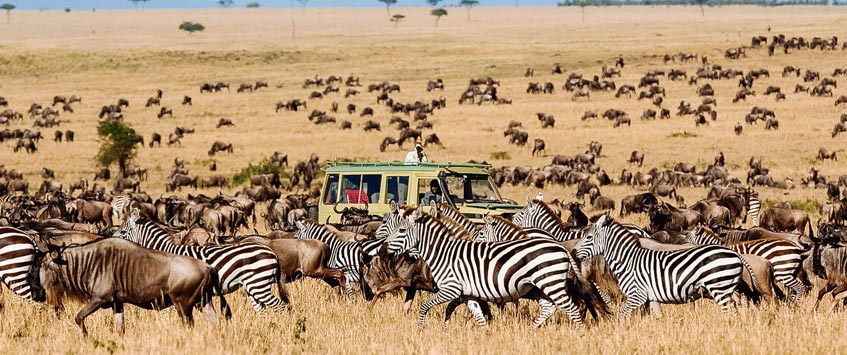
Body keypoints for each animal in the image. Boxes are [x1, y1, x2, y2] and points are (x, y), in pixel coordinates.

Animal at [117, 210, 292, 312]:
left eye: (123, 232)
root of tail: (272, 253)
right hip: (252, 286)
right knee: (262, 310)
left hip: (259, 284)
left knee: (281, 307)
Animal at [386, 207, 592, 330]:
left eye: (401, 230)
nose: (384, 248)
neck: (443, 253)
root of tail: (561, 247)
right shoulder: (467, 293)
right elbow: (477, 315)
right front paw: (484, 334)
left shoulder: (451, 289)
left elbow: (425, 306)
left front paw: (421, 328)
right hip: (537, 286)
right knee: (549, 307)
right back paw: (533, 330)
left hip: (550, 282)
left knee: (572, 308)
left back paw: (579, 333)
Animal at [576, 214, 748, 318]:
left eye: (589, 237)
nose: (573, 251)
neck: (628, 260)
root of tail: (735, 254)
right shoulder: (650, 297)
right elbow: (658, 317)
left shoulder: (636, 295)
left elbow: (620, 315)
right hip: (727, 288)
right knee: (736, 307)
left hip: (719, 287)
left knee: (729, 311)